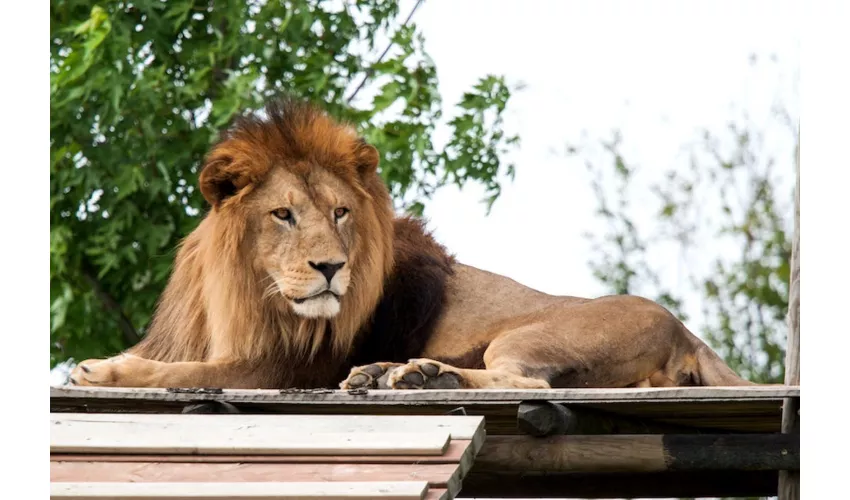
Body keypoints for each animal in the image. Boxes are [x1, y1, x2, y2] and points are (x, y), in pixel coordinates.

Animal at [68, 96, 756, 390]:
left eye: (341, 212)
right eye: (283, 215)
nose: (331, 268)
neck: (241, 297)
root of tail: (686, 329)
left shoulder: (288, 366)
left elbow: (187, 371)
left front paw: (103, 367)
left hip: (530, 336)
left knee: (530, 384)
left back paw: (422, 378)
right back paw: (394, 374)